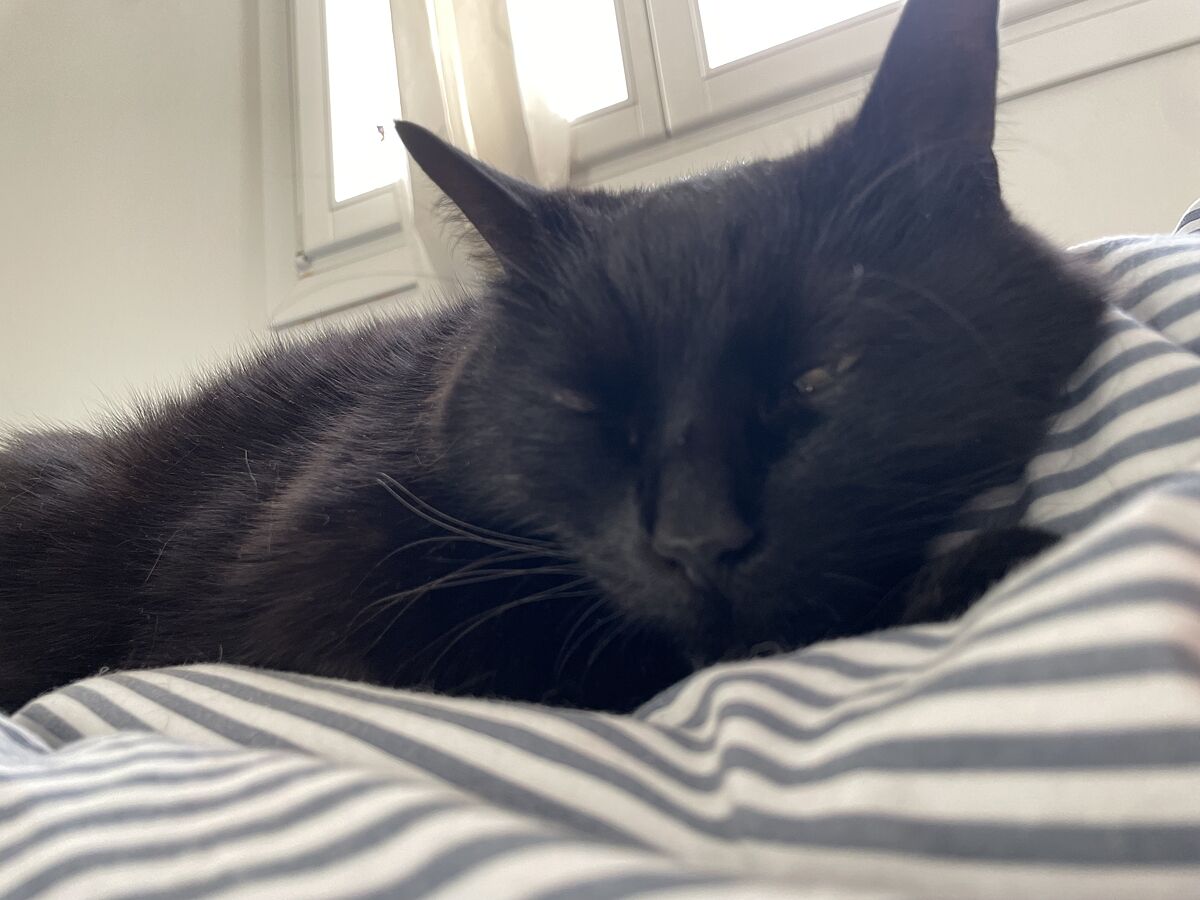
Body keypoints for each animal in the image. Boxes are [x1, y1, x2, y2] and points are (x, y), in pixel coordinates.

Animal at [0, 0, 1104, 713]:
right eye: (585, 406)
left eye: (818, 375)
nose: (695, 541)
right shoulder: (308, 601)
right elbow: (602, 652)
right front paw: (988, 568)